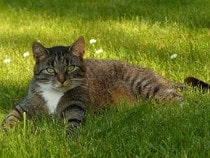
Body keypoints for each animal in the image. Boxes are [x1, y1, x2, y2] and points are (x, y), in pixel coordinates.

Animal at [2, 36, 185, 133]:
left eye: (70, 67)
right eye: (50, 70)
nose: (61, 79)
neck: (54, 94)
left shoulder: (75, 107)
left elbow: (73, 124)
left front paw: (68, 140)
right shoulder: (24, 106)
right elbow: (9, 118)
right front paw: (5, 134)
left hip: (146, 85)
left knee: (178, 98)